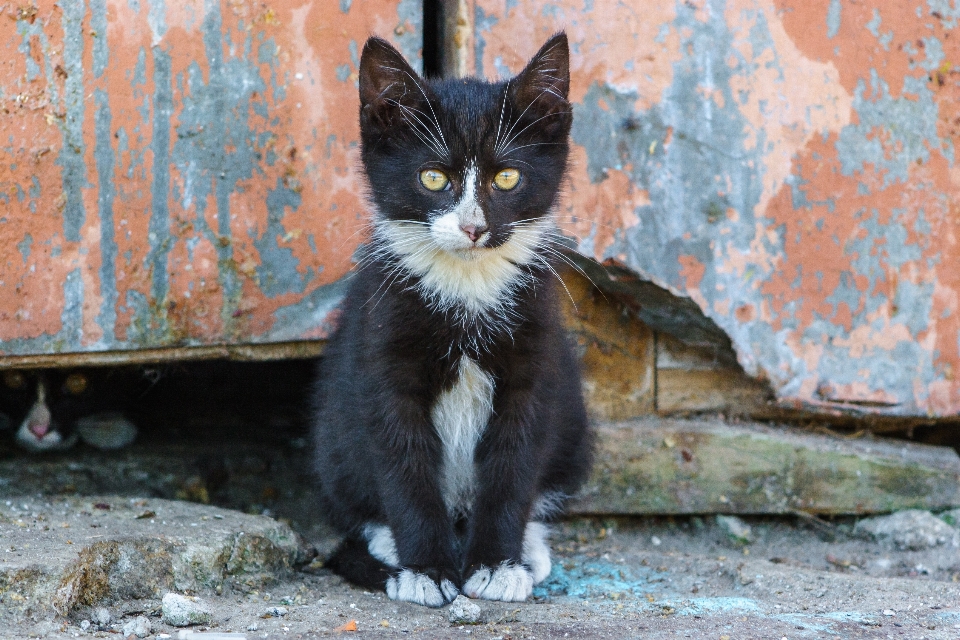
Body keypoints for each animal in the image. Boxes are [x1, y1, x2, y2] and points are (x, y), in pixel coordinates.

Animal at [312, 33, 588, 604]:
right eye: (433, 177)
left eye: (507, 177)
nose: (473, 227)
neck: (467, 290)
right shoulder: (382, 357)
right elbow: (403, 465)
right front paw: (426, 570)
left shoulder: (534, 363)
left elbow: (514, 465)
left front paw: (499, 564)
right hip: (334, 436)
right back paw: (388, 545)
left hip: (574, 424)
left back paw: (530, 549)